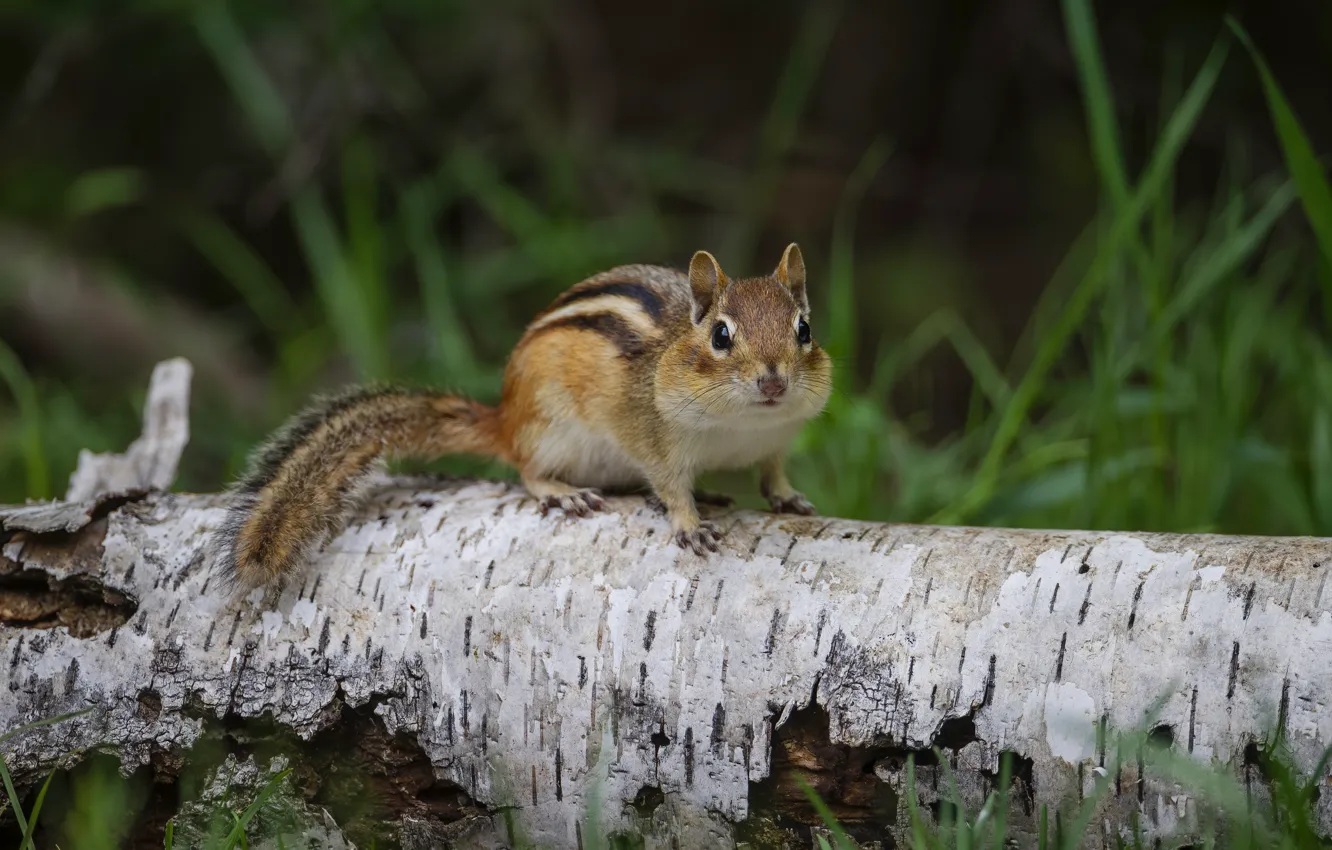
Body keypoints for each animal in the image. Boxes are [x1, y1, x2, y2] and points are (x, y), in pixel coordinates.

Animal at [211, 243, 833, 590]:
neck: (741, 427)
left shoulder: (775, 440)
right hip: (550, 430)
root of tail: (504, 417)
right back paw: (562, 492)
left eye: (804, 329)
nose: (773, 381)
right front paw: (687, 521)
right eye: (721, 336)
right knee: (526, 468)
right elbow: (670, 484)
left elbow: (772, 472)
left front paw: (787, 498)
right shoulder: (654, 437)